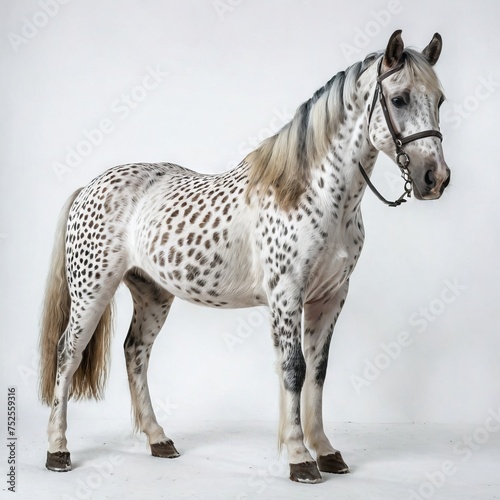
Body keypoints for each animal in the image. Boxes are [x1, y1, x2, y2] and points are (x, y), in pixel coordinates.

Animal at [41, 29, 452, 482]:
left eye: (440, 100)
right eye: (398, 98)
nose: (435, 179)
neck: (315, 193)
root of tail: (89, 187)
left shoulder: (330, 297)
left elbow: (318, 371)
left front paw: (326, 451)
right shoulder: (286, 296)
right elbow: (294, 369)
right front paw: (299, 457)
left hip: (152, 293)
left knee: (135, 352)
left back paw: (159, 440)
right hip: (91, 290)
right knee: (67, 355)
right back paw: (58, 450)